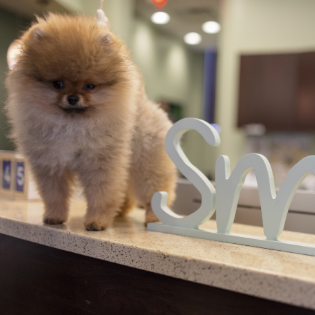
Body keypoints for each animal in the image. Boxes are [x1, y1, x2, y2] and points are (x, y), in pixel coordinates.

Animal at [5, 13, 178, 231]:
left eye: (90, 86)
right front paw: (54, 216)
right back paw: (120, 212)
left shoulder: (101, 162)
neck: (72, 124)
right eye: (57, 84)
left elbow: (101, 193)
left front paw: (97, 221)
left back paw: (154, 218)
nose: (72, 98)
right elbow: (54, 195)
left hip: (148, 162)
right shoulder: (51, 164)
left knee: (156, 191)